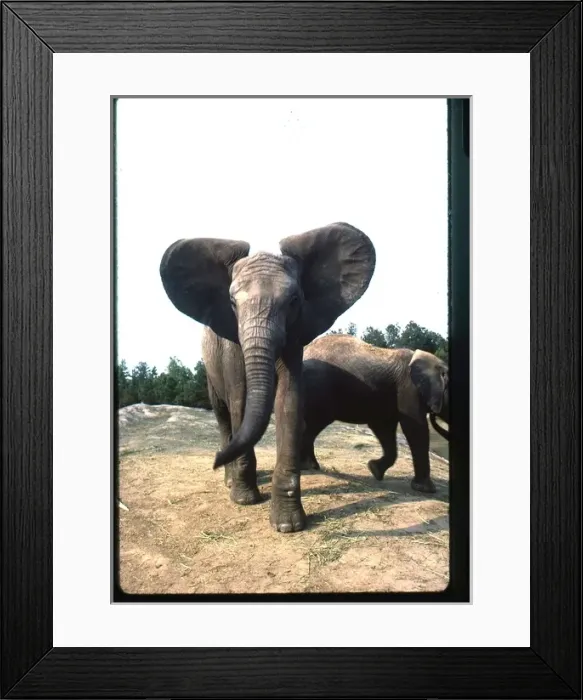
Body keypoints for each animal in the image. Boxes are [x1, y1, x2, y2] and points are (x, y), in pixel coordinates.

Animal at [160, 223, 376, 532]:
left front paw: (288, 525)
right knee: (223, 414)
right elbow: (240, 399)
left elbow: (289, 401)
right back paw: (229, 480)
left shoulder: (295, 333)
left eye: (294, 300)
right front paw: (245, 501)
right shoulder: (231, 342)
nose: (213, 461)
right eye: (232, 303)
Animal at [299, 335, 449, 494]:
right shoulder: (408, 389)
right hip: (319, 390)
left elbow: (384, 428)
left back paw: (311, 466)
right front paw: (426, 490)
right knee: (313, 425)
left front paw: (374, 470)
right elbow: (415, 427)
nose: (434, 414)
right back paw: (307, 466)